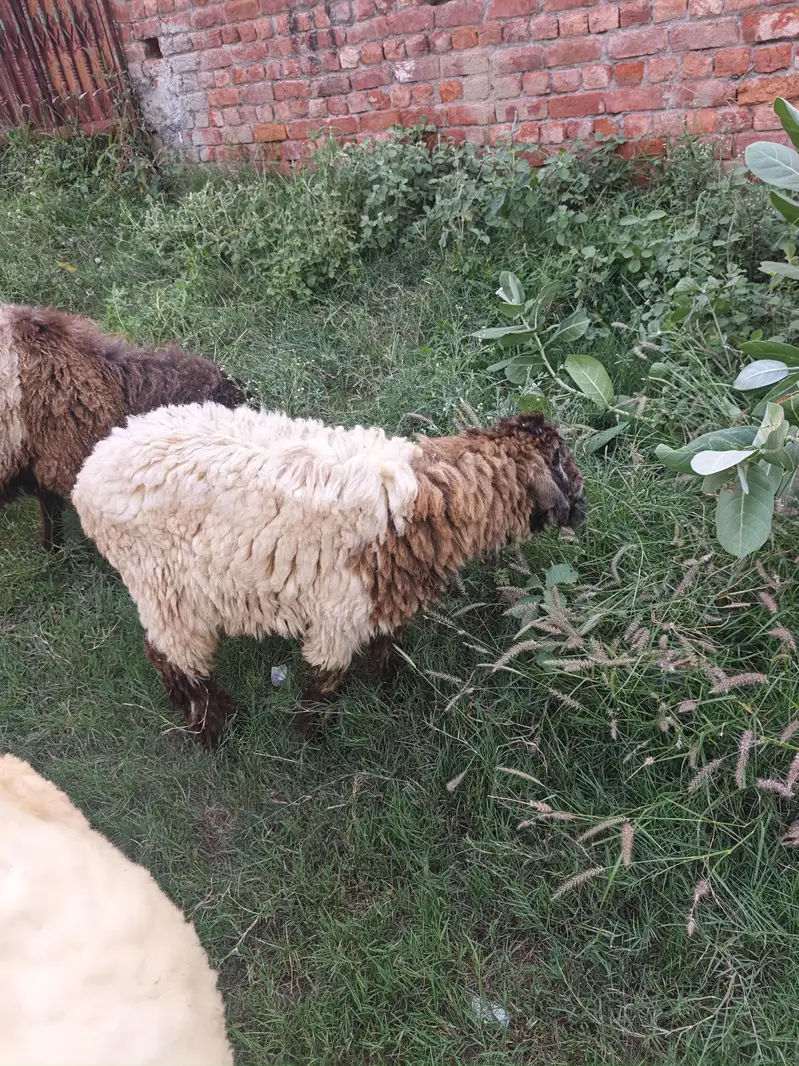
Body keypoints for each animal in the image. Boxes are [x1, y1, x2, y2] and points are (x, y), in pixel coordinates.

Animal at [72, 404, 586, 747]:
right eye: (562, 464)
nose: (582, 510)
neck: (427, 500)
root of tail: (87, 475)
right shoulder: (340, 611)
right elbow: (325, 679)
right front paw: (307, 735)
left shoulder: (384, 599)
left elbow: (388, 646)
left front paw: (391, 688)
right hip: (163, 584)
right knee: (171, 656)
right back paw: (211, 727)